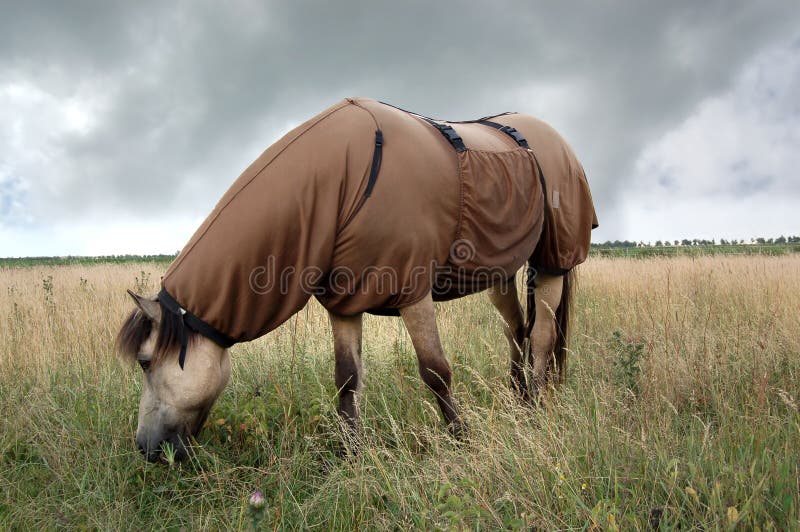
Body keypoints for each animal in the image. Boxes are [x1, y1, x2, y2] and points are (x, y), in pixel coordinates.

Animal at [116, 98, 597, 462]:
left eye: (144, 362)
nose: (145, 448)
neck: (348, 178)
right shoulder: (346, 301)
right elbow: (347, 378)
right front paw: (350, 454)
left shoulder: (412, 291)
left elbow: (435, 371)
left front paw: (462, 438)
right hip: (500, 271)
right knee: (516, 328)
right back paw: (517, 397)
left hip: (552, 263)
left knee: (543, 334)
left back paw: (534, 405)